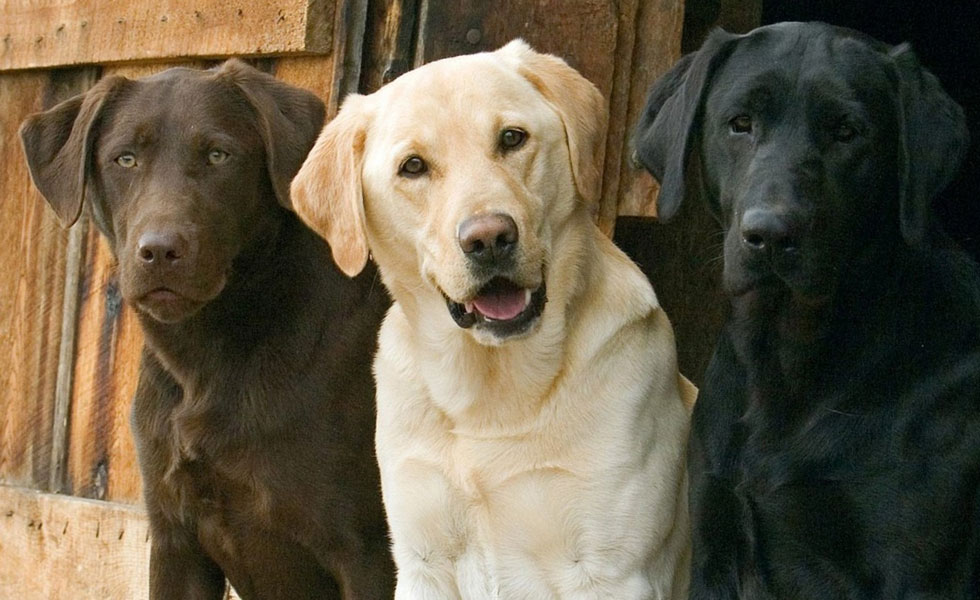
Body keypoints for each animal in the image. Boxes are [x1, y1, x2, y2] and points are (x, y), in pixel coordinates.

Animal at [20, 59, 394, 600]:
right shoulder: (177, 540)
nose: (159, 250)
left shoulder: (369, 549)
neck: (209, 357)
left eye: (219, 155)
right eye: (125, 159)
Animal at [632, 21, 980, 596]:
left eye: (847, 132)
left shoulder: (910, 571)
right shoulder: (715, 542)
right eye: (741, 124)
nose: (770, 235)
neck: (787, 367)